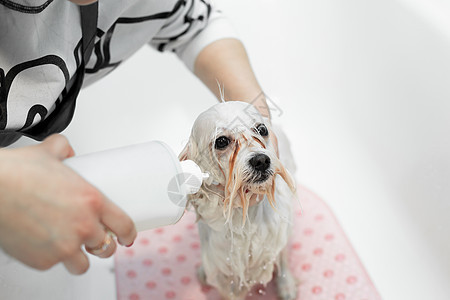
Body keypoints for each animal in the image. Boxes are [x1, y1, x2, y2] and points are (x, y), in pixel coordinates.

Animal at [179, 102, 298, 298]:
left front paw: (286, 284)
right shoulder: (223, 269)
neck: (242, 217)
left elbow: (281, 256)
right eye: (221, 141)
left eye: (262, 129)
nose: (261, 160)